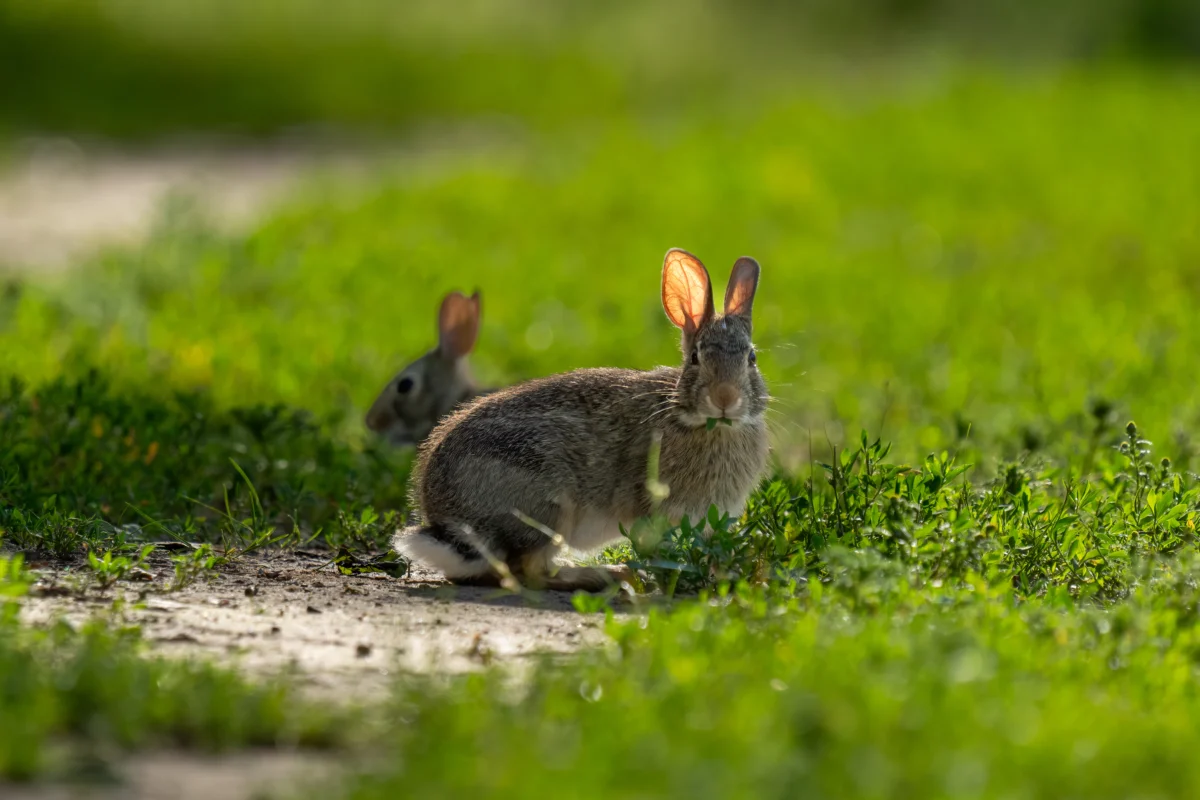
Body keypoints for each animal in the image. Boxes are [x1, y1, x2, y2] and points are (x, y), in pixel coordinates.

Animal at [395, 248, 770, 591]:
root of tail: (446, 520)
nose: (725, 398)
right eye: (695, 358)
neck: (694, 418)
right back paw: (605, 575)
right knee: (530, 571)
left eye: (751, 358)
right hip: (548, 506)